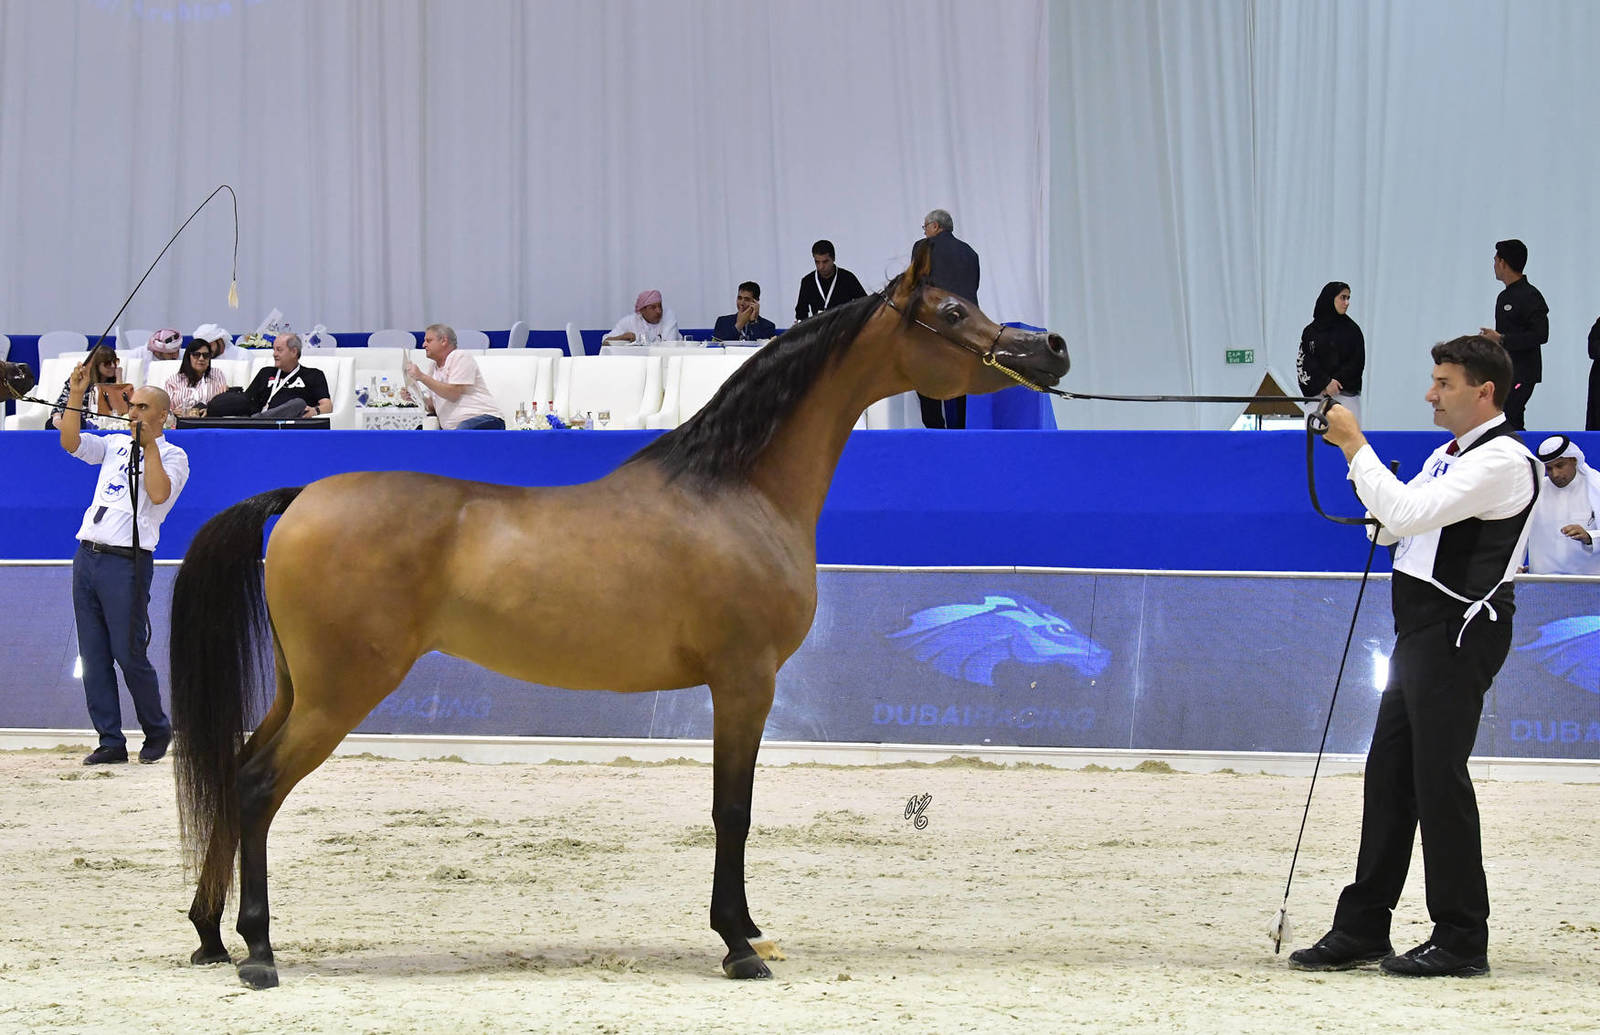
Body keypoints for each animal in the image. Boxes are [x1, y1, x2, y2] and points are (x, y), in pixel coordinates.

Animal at [168, 248, 1069, 989]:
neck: (734, 489)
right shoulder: (744, 682)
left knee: (236, 770)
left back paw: (209, 933)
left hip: (302, 689)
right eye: (950, 312)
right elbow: (732, 810)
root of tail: (300, 497)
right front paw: (736, 943)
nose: (1051, 348)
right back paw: (257, 950)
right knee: (256, 783)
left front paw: (747, 931)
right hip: (338, 694)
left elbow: (734, 809)